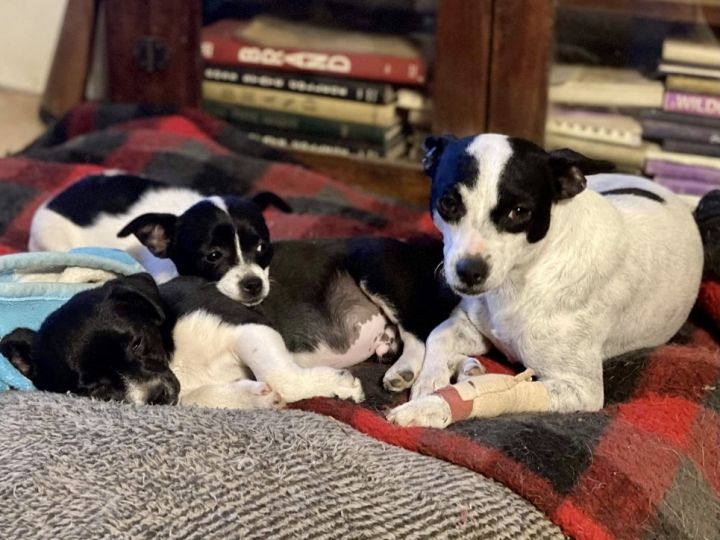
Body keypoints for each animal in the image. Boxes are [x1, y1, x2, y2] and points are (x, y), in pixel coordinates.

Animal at [2, 237, 457, 409]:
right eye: (95, 390)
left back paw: (405, 369)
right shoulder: (186, 390)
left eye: (136, 343)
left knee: (423, 332)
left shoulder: (247, 327)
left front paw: (341, 385)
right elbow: (207, 397)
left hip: (373, 269)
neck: (174, 355)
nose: (155, 396)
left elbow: (280, 374)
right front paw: (254, 397)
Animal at [387, 133, 704, 428]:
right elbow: (438, 333)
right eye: (448, 203)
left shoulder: (578, 389)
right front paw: (431, 380)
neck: (522, 279)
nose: (469, 271)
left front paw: (430, 407)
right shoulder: (473, 327)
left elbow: (500, 394)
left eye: (519, 211)